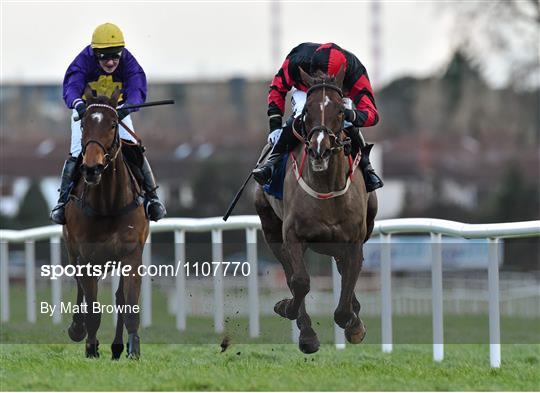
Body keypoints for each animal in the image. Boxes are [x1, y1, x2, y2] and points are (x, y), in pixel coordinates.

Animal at [64, 86, 149, 358]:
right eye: (83, 125)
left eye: (113, 124)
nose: (92, 168)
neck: (108, 203)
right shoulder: (86, 258)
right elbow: (92, 310)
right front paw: (90, 347)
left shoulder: (131, 254)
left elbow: (128, 303)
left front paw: (133, 349)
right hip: (72, 251)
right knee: (80, 288)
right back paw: (78, 329)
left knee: (119, 297)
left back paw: (117, 346)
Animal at [255, 67, 378, 352]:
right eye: (307, 110)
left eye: (341, 111)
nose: (320, 149)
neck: (326, 188)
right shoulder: (293, 235)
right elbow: (299, 282)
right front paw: (291, 314)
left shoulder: (354, 240)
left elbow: (344, 303)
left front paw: (355, 324)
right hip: (271, 229)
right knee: (291, 274)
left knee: (344, 270)